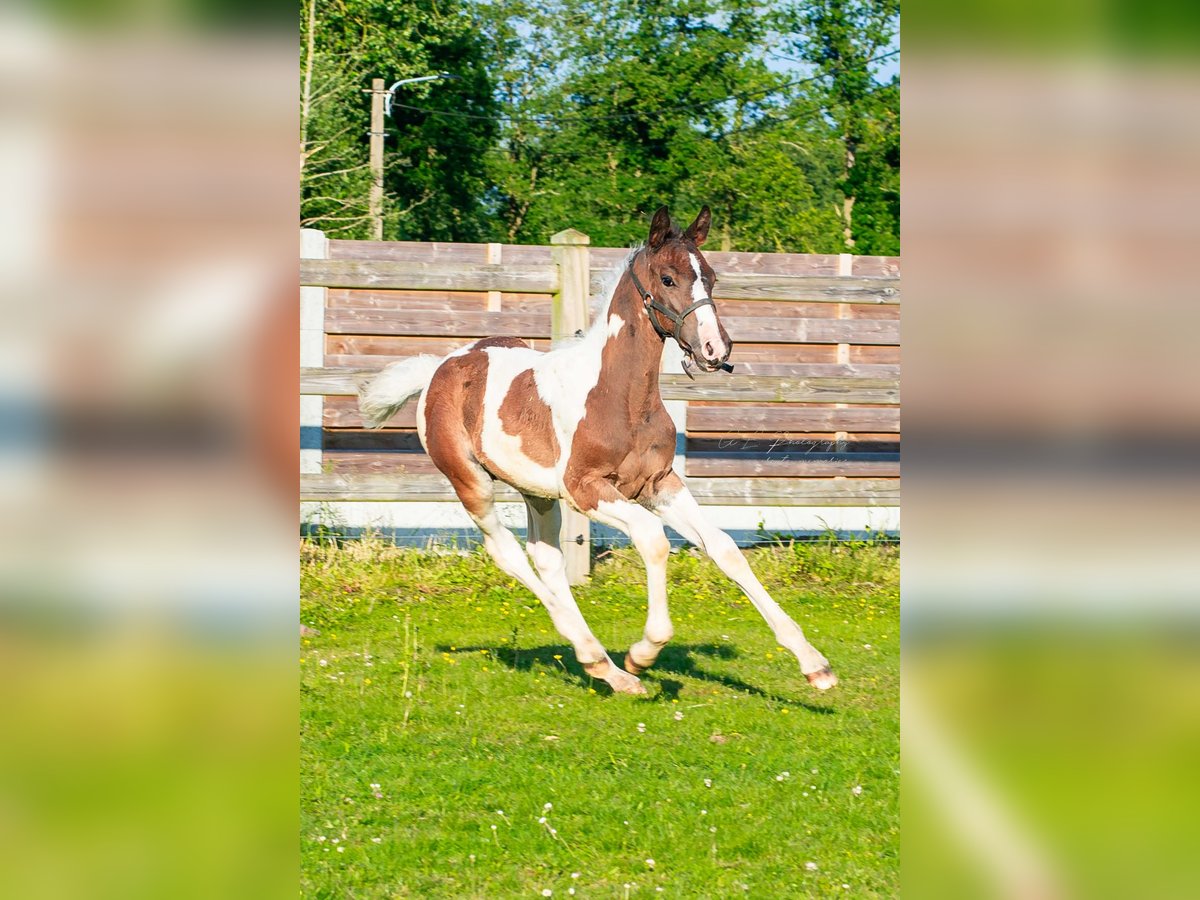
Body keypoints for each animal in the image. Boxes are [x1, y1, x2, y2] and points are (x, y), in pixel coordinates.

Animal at [360, 206, 840, 696]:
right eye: (668, 278)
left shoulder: (659, 483)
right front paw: (644, 652)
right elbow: (653, 539)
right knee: (508, 554)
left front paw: (814, 664)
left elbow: (723, 547)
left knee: (546, 558)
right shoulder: (585, 489)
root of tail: (439, 367)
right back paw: (605, 663)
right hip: (471, 482)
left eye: (711, 276)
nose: (715, 349)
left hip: (537, 492)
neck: (620, 397)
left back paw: (601, 665)